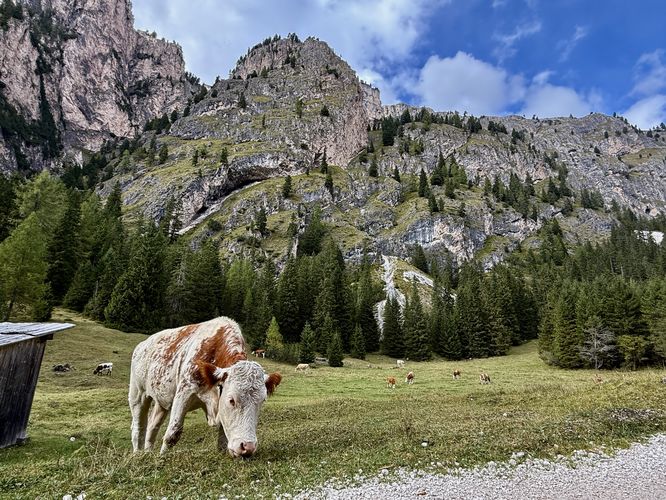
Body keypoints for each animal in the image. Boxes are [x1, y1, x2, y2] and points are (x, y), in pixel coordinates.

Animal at [129, 317, 281, 457]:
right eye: (231, 400)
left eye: (262, 401)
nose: (247, 447)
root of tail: (142, 345)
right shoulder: (184, 392)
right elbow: (173, 433)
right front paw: (163, 457)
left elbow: (223, 440)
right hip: (138, 394)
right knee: (138, 427)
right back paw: (137, 454)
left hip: (162, 400)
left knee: (152, 426)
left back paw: (148, 453)